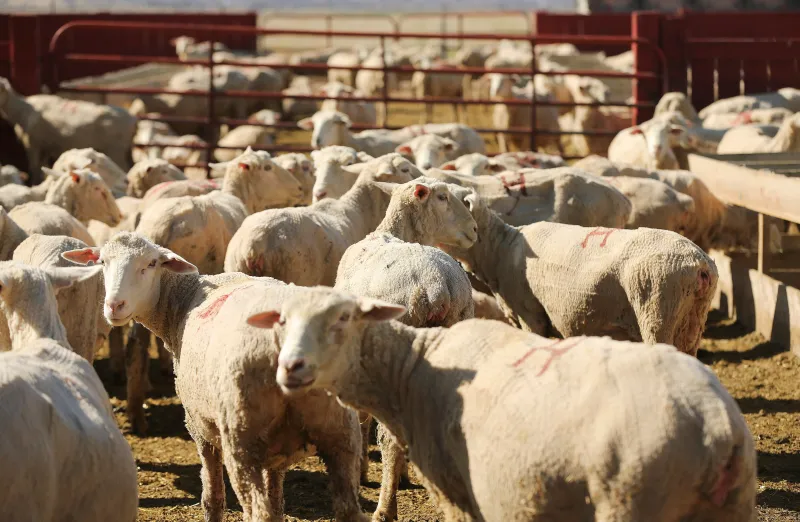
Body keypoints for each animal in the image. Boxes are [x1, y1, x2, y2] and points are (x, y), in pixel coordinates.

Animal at [0, 77, 137, 181]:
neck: (22, 109)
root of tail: (133, 119)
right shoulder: (45, 146)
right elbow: (41, 167)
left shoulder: (33, 143)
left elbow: (34, 167)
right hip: (125, 150)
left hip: (117, 150)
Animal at [62, 234, 366, 522]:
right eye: (102, 262)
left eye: (150, 264)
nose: (114, 306)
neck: (182, 301)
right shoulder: (276, 452)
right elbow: (277, 502)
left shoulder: (199, 425)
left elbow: (213, 498)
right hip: (342, 434)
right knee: (348, 511)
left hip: (242, 435)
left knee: (257, 512)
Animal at [250, 286, 756, 522]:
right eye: (282, 321)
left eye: (343, 318)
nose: (290, 367)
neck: (411, 369)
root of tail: (716, 426)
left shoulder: (457, 490)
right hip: (730, 505)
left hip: (634, 495)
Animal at [334, 178, 477, 521]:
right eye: (443, 197)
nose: (475, 229)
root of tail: (437, 287)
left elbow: (361, 417)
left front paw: (362, 473)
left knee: (390, 438)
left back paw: (385, 508)